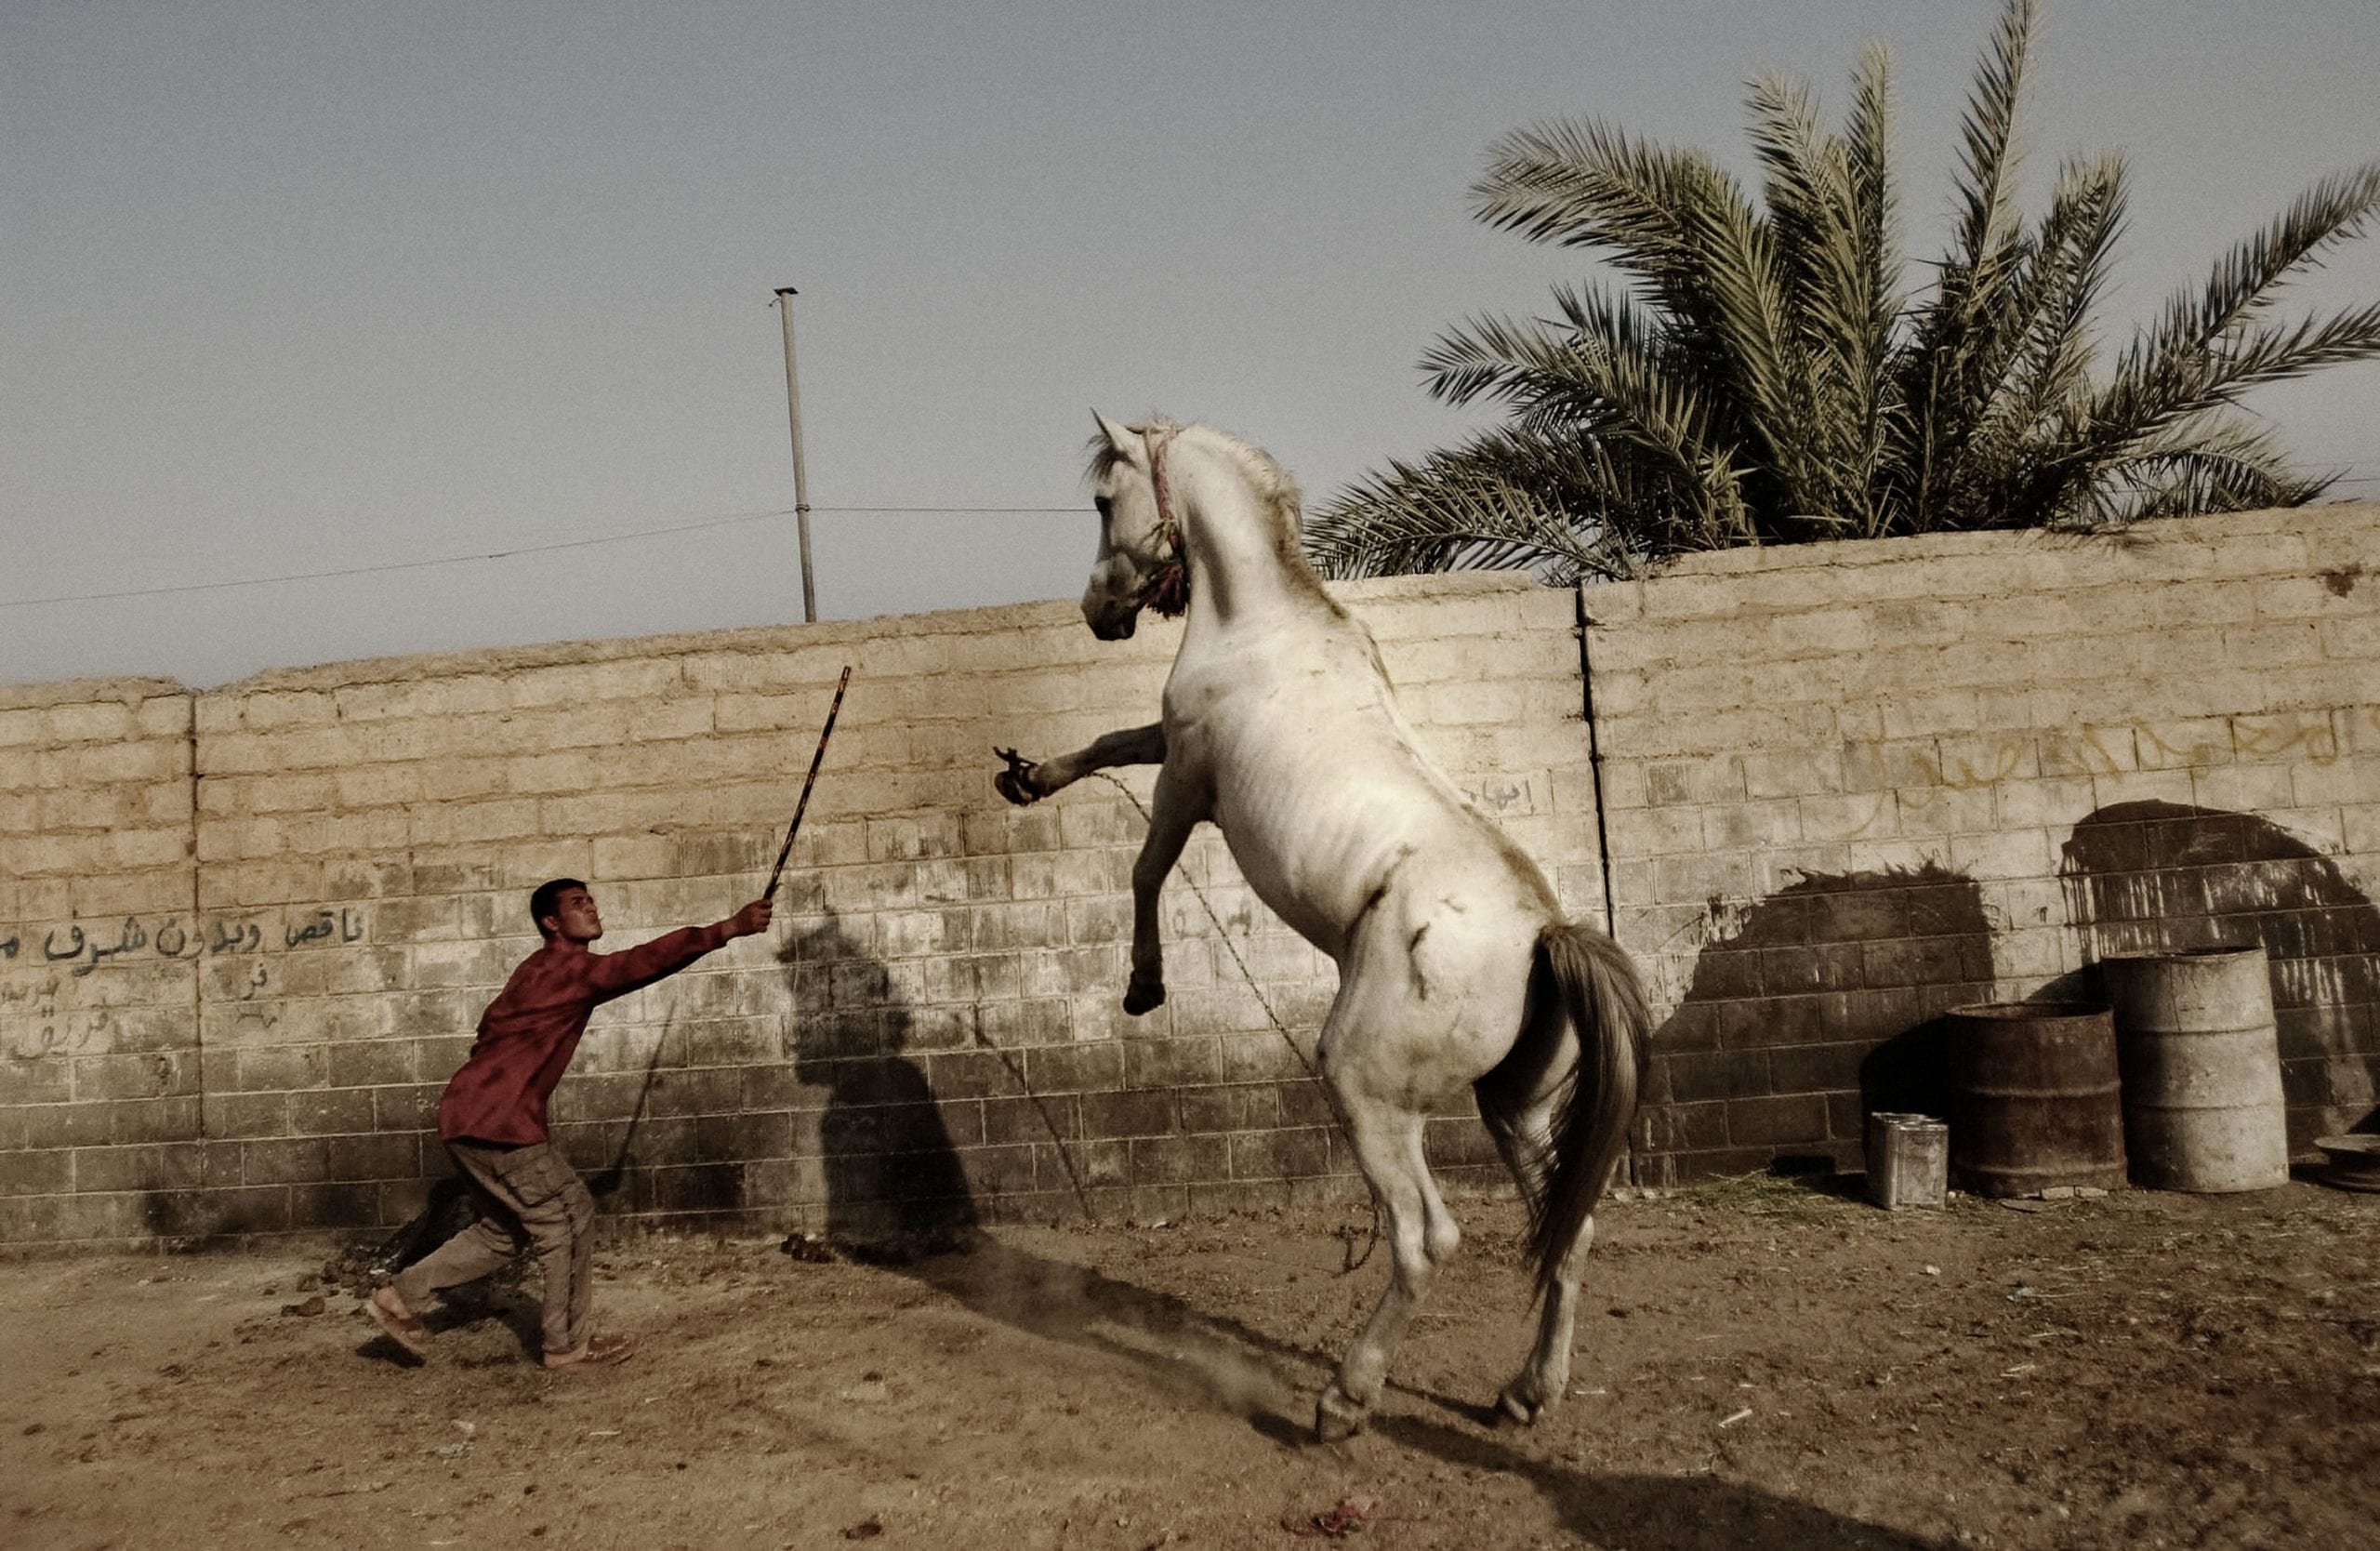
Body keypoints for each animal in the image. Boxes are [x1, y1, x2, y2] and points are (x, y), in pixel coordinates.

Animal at [995, 414, 1646, 1446]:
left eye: (1104, 500)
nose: (1098, 611)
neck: (1263, 623)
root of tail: (1546, 937)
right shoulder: (1169, 747)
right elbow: (1106, 746)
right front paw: (1027, 779)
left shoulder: (1188, 779)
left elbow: (1144, 869)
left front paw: (1143, 986)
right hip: (1514, 1105)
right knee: (1567, 1230)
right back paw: (1524, 1394)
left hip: (1368, 1089)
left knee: (1427, 1239)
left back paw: (1345, 1398)